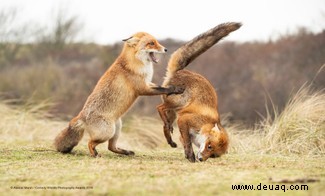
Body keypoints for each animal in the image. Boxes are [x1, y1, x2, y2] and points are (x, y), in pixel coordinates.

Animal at [54, 32, 184, 158]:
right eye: (151, 43)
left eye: (156, 41)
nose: (166, 49)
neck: (136, 63)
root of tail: (81, 116)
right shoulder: (142, 88)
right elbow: (163, 89)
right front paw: (175, 88)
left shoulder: (147, 83)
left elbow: (159, 86)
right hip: (107, 132)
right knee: (90, 143)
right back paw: (95, 154)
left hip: (117, 128)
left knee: (111, 147)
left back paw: (126, 152)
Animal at [157, 22, 240, 162]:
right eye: (210, 146)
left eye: (213, 155)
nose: (201, 159)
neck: (204, 125)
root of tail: (180, 71)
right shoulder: (184, 120)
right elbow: (187, 142)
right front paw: (190, 156)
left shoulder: (183, 128)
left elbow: (184, 142)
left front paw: (188, 154)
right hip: (178, 102)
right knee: (159, 107)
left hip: (173, 113)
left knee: (164, 125)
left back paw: (170, 140)